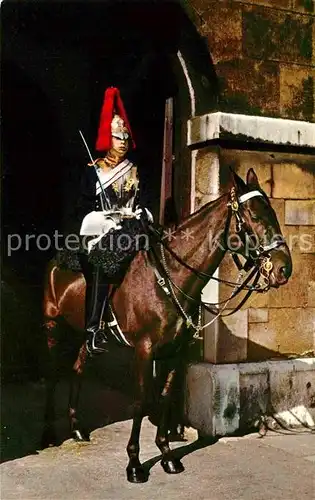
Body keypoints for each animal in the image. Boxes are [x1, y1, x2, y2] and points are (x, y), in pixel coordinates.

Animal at [40, 170, 292, 482]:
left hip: (84, 335)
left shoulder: (175, 350)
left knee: (78, 368)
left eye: (273, 212)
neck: (171, 276)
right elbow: (141, 399)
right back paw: (49, 433)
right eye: (255, 215)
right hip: (53, 324)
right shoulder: (144, 350)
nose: (284, 268)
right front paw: (134, 463)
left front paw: (167, 454)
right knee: (53, 373)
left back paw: (76, 427)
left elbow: (165, 395)